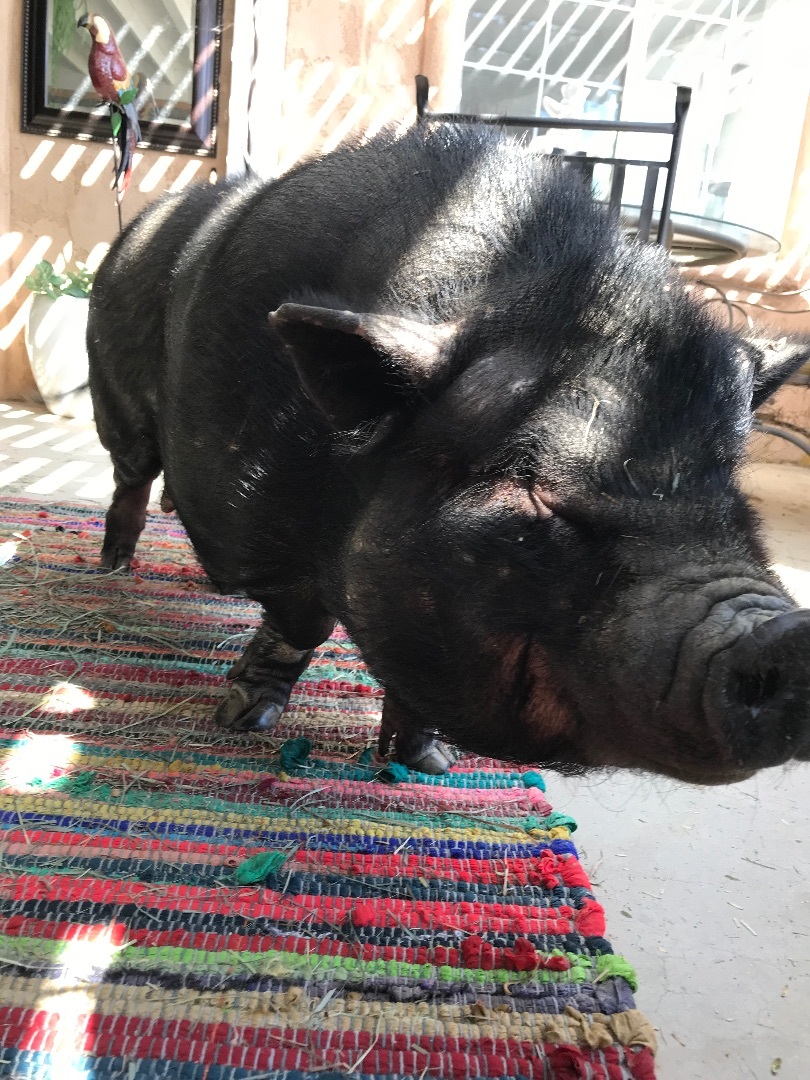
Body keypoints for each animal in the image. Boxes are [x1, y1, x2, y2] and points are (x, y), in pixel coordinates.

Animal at [87, 121, 810, 782]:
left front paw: (429, 762)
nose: (787, 632)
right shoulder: (261, 522)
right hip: (114, 398)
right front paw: (242, 720)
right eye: (533, 487)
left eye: (729, 482)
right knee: (129, 478)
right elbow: (301, 622)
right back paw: (112, 568)